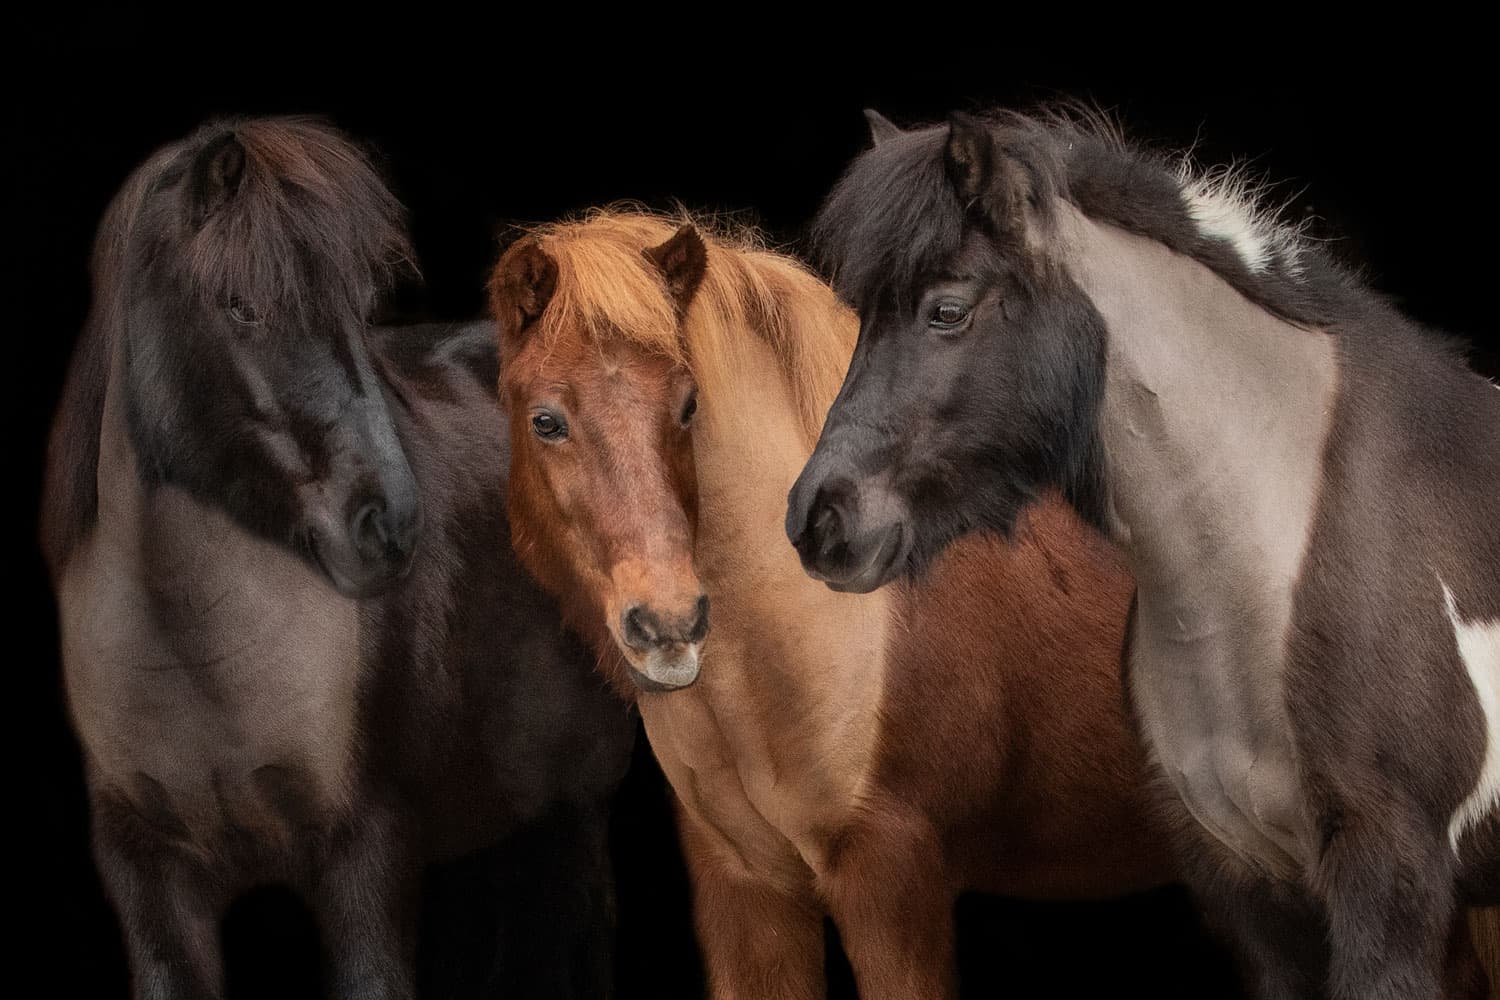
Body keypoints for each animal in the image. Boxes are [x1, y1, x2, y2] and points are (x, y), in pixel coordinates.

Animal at [40, 118, 634, 999]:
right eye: (241, 306)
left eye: (358, 312)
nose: (388, 523)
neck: (195, 662)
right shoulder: (147, 877)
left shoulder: (368, 856)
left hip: (574, 811)